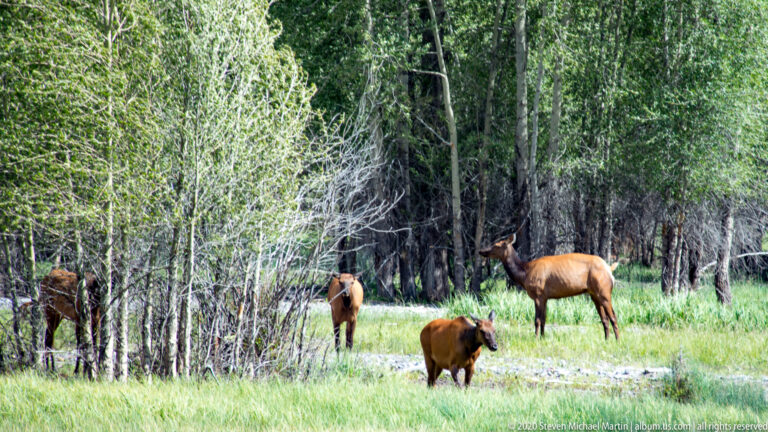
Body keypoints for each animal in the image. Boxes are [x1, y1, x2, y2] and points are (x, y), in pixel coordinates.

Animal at [479, 233, 620, 340]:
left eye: (497, 245)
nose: (481, 251)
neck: (524, 274)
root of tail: (609, 269)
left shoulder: (538, 294)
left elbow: (537, 319)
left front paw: (536, 338)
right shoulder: (545, 297)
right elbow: (544, 319)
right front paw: (542, 337)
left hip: (604, 290)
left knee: (613, 316)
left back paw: (617, 341)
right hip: (594, 294)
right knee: (604, 319)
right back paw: (606, 340)